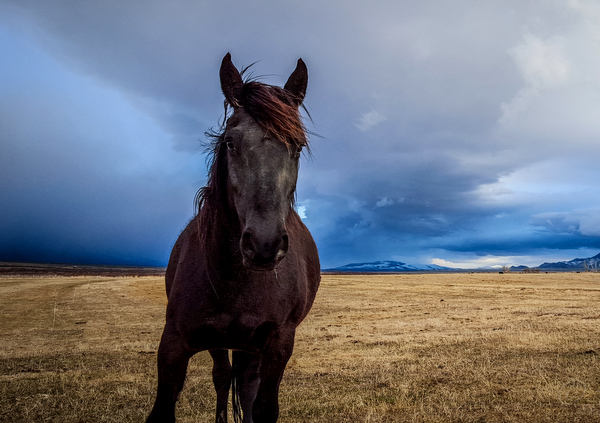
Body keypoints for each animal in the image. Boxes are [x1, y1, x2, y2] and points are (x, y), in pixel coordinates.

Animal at [148, 53, 322, 423]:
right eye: (230, 141)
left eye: (298, 146)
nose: (265, 245)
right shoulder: (173, 344)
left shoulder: (278, 343)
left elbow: (264, 405)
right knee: (224, 376)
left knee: (246, 382)